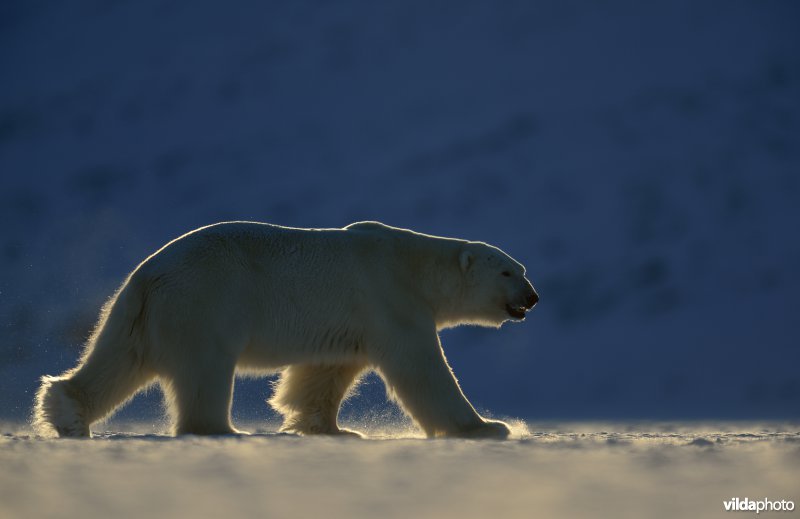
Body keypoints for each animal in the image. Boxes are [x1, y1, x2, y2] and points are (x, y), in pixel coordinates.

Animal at [34, 222, 540, 438]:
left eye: (521, 268)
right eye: (508, 272)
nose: (533, 297)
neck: (414, 265)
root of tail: (149, 274)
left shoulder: (350, 322)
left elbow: (325, 372)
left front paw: (329, 428)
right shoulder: (390, 299)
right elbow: (422, 369)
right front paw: (486, 427)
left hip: (136, 313)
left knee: (119, 360)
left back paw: (67, 414)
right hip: (205, 304)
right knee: (204, 372)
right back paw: (221, 430)